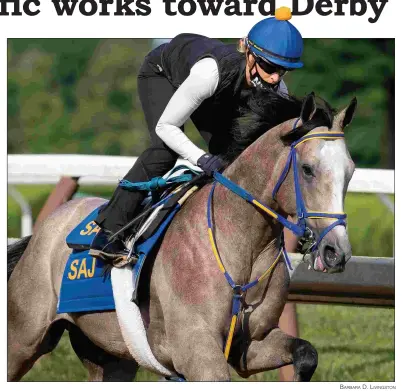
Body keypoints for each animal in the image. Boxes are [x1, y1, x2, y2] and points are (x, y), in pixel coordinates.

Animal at [7, 90, 358, 382]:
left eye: (351, 171)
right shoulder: (196, 352)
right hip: (24, 337)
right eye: (308, 169)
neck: (243, 246)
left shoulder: (250, 345)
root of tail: (45, 229)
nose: (336, 252)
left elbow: (306, 353)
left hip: (110, 355)